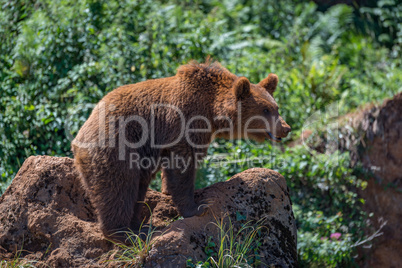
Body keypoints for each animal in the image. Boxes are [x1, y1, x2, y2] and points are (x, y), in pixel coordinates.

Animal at [72, 59, 290, 242]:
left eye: (276, 107)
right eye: (265, 110)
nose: (285, 128)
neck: (212, 110)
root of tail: (80, 134)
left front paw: (169, 192)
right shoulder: (184, 123)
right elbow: (183, 167)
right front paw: (198, 207)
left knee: (137, 187)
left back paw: (139, 227)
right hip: (117, 145)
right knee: (118, 187)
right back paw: (123, 233)